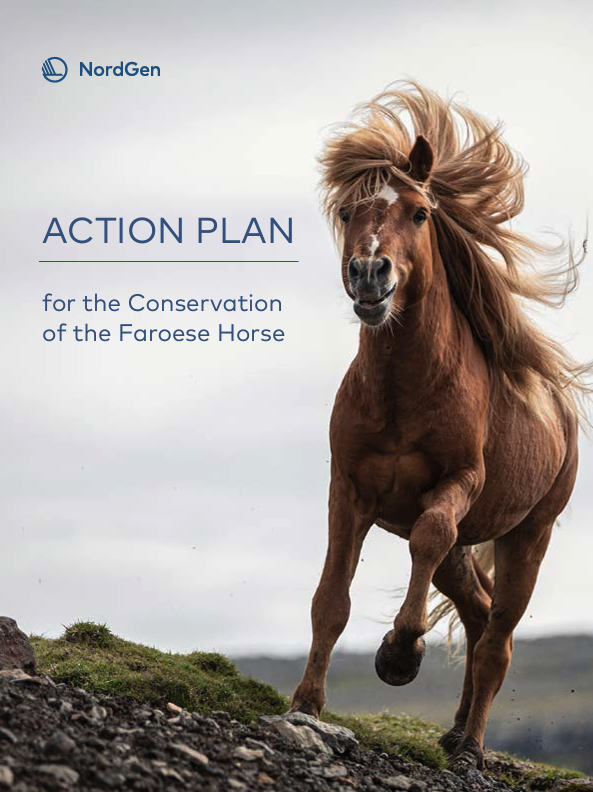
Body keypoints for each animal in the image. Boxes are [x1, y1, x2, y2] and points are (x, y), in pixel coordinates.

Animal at [290, 82, 588, 771]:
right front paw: (305, 706)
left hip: (529, 534)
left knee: (499, 636)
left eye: (421, 213)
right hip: (467, 549)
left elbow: (425, 536)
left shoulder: (456, 485)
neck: (406, 392)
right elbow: (330, 599)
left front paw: (400, 655)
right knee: (477, 617)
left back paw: (471, 746)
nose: (370, 274)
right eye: (347, 211)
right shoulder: (347, 490)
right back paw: (452, 732)